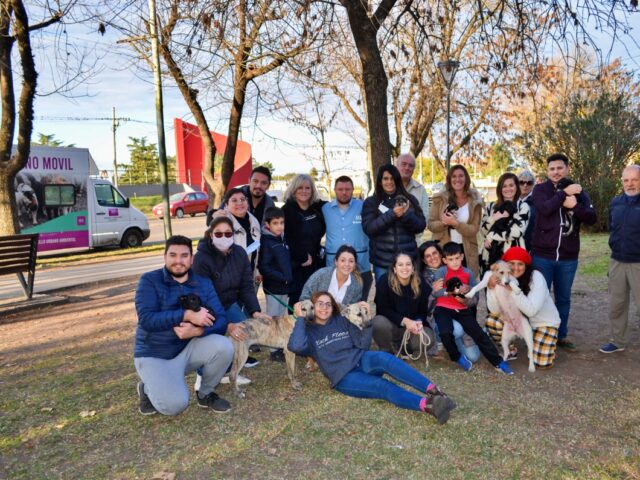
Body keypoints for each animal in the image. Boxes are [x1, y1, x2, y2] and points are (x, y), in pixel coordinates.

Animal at [228, 300, 372, 398]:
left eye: (313, 307)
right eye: (359, 314)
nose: (369, 325)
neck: (296, 321)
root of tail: (231, 330)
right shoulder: (289, 352)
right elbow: (291, 371)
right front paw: (294, 384)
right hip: (242, 355)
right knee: (232, 375)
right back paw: (238, 392)